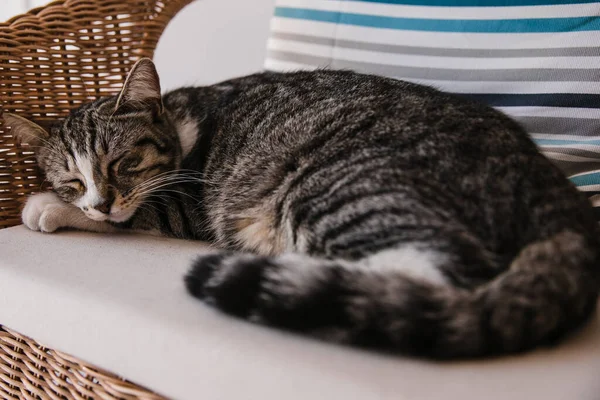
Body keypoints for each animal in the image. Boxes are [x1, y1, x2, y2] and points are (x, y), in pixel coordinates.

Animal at [5, 57, 600, 360]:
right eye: (73, 179)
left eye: (124, 163)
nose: (100, 200)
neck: (180, 118)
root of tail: (557, 194)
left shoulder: (186, 201)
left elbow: (141, 214)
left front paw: (45, 208)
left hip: (338, 185)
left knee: (440, 269)